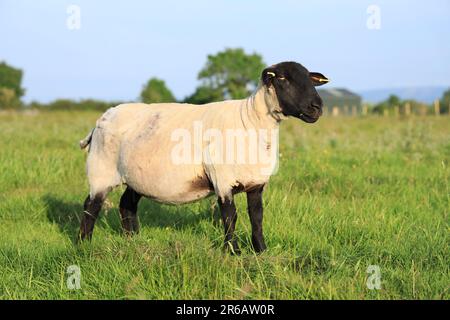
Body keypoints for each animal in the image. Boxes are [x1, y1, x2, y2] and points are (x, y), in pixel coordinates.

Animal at [79, 61, 328, 254]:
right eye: (283, 79)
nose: (317, 107)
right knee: (91, 206)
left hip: (135, 177)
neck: (250, 121)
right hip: (101, 170)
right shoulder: (222, 180)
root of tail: (101, 119)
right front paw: (233, 252)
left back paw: (133, 240)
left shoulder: (256, 183)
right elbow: (230, 216)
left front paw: (261, 251)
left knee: (126, 205)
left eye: (310, 79)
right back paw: (84, 243)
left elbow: (257, 217)